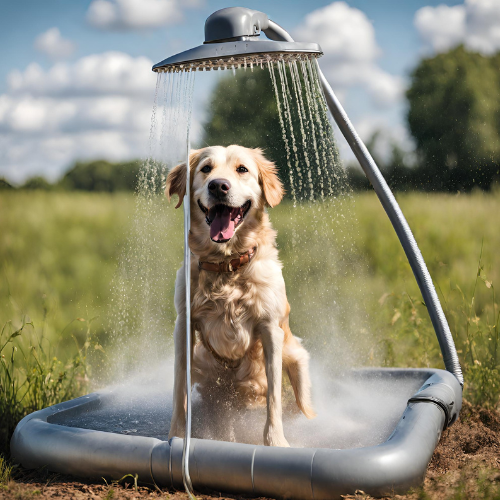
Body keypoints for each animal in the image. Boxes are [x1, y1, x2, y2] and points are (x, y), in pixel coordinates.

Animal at [166, 144, 314, 446]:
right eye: (206, 169)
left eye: (242, 169)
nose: (218, 186)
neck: (227, 265)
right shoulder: (183, 325)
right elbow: (179, 391)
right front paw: (177, 436)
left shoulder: (270, 329)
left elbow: (273, 398)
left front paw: (276, 442)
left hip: (299, 365)